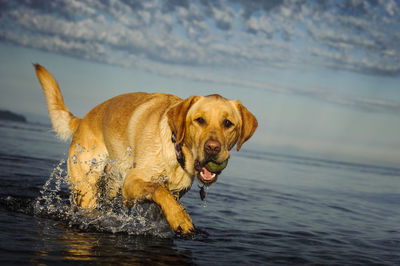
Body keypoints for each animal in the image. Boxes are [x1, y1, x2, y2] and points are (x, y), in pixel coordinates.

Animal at [35, 64, 260, 235]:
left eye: (228, 123)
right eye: (199, 120)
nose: (213, 148)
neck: (176, 152)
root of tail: (83, 120)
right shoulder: (132, 183)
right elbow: (158, 189)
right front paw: (181, 219)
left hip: (110, 185)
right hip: (87, 184)